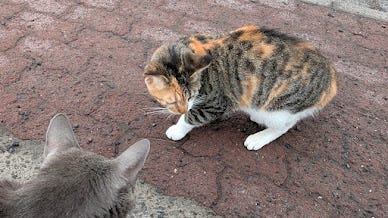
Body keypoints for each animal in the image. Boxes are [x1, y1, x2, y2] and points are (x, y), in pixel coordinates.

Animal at [144, 25, 334, 150]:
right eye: (173, 101)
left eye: (189, 97)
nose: (183, 109)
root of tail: (331, 81)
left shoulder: (216, 103)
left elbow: (193, 117)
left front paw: (177, 129)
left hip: (275, 107)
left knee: (285, 124)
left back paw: (259, 138)